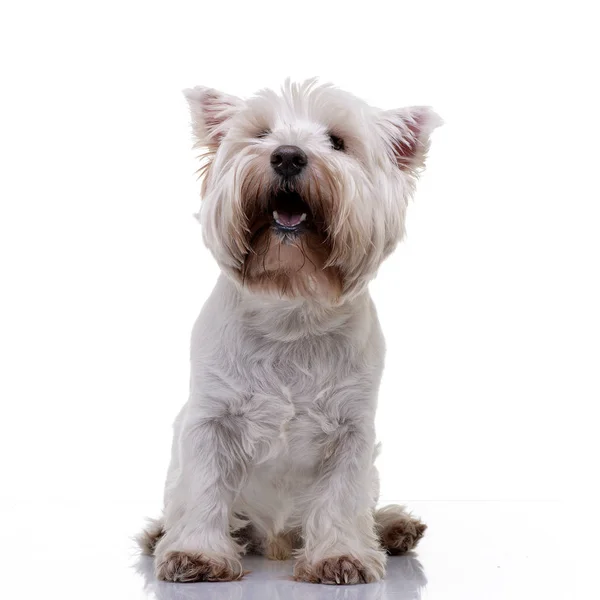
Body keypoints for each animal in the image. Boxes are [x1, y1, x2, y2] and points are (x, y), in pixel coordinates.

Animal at [139, 79, 440, 584]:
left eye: (338, 142)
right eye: (260, 134)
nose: (287, 156)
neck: (291, 311)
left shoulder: (351, 430)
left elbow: (343, 495)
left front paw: (341, 556)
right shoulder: (209, 421)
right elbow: (204, 487)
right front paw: (197, 553)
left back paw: (393, 526)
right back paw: (161, 534)